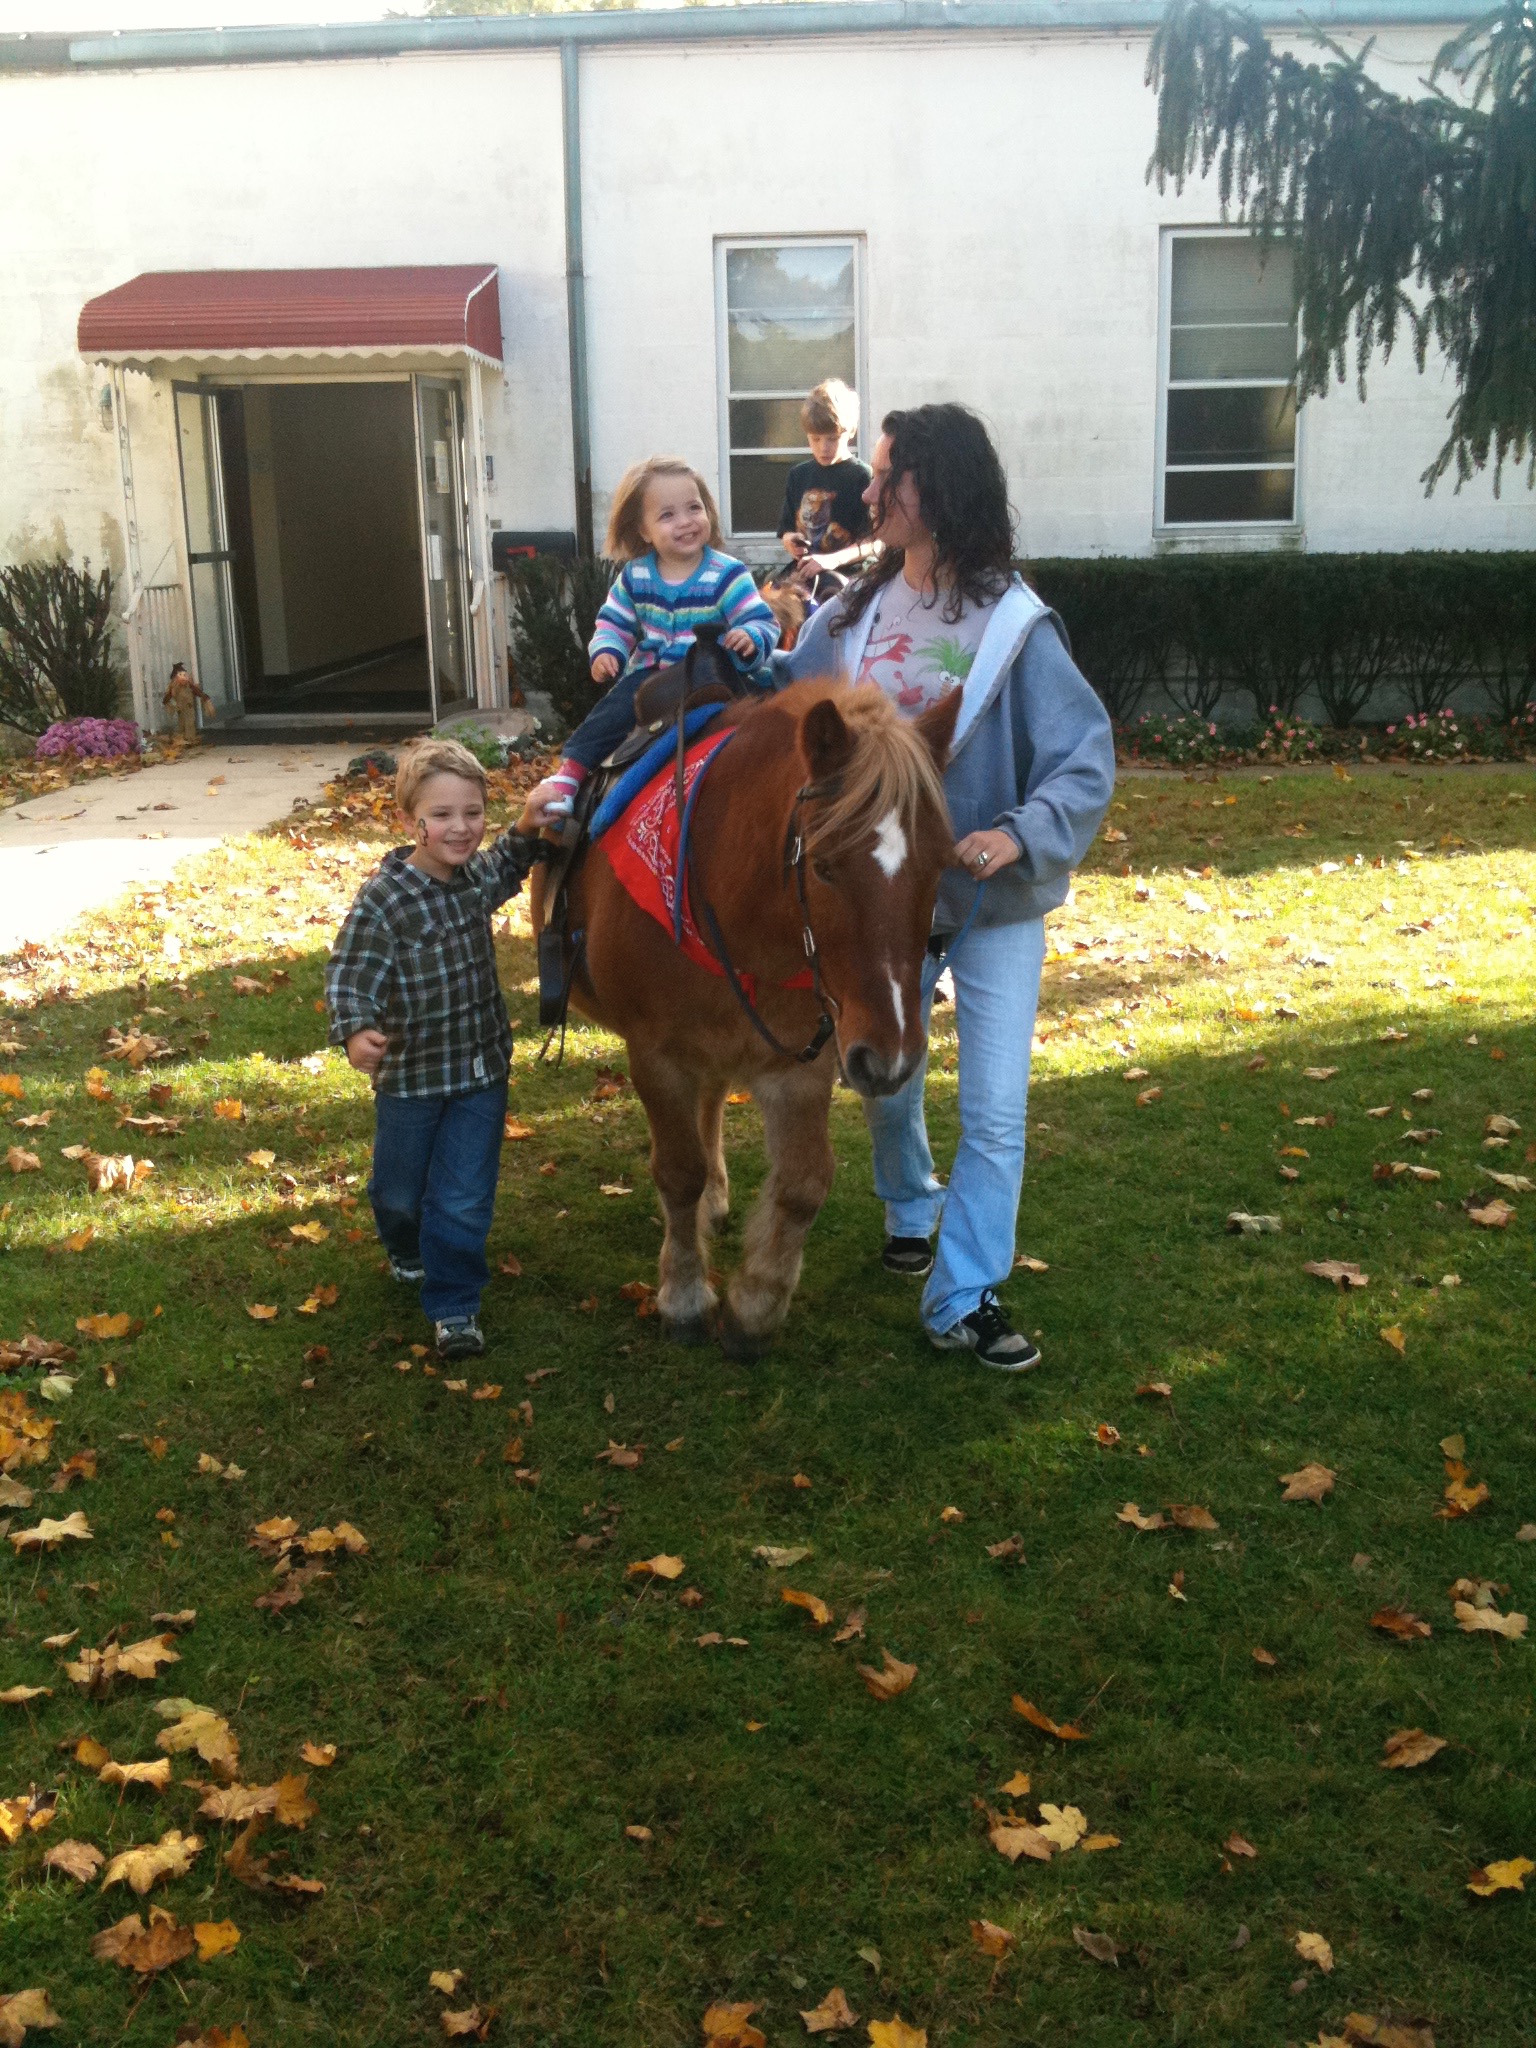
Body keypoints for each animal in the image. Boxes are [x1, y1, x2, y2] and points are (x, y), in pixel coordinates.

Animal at [536, 679, 958, 1359]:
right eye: (824, 865)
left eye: (941, 863)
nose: (890, 1057)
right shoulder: (657, 1058)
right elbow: (678, 1172)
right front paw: (684, 1296)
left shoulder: (801, 1065)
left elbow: (804, 1183)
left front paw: (756, 1304)